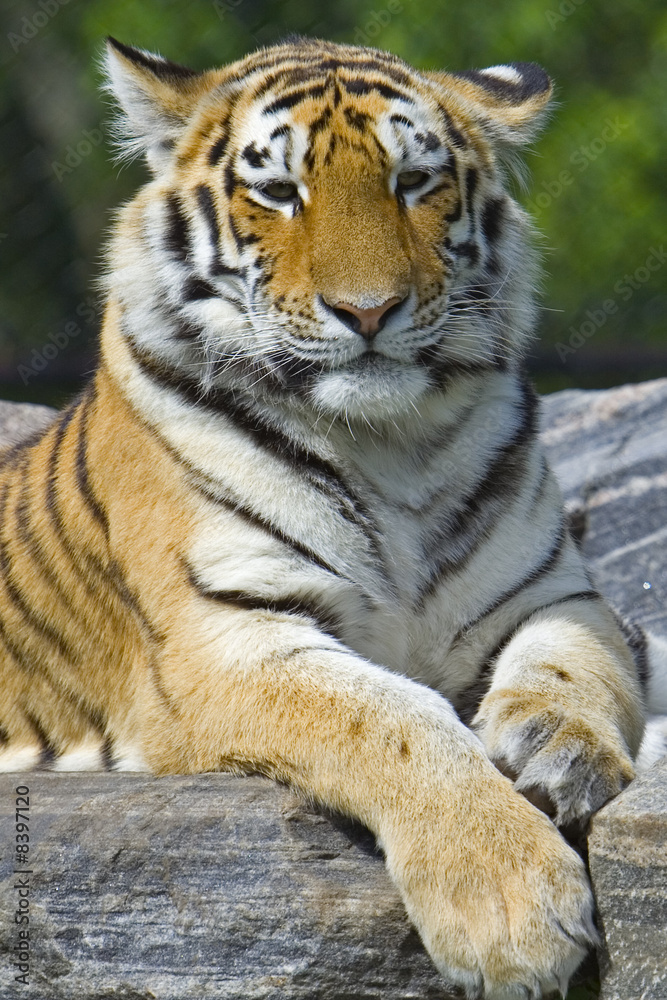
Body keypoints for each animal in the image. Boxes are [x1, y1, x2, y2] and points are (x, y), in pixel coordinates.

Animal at [1, 35, 666, 1000]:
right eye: (280, 191)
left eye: (413, 182)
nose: (368, 311)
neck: (389, 443)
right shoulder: (226, 639)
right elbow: (392, 719)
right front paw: (507, 906)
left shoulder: (552, 593)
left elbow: (575, 668)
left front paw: (560, 747)